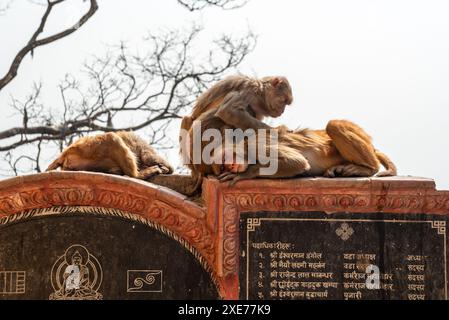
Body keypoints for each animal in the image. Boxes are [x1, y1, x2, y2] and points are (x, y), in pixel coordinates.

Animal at [214, 119, 396, 185]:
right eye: (222, 167)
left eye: (224, 162)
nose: (230, 167)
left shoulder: (257, 145)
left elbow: (297, 162)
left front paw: (246, 174)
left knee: (333, 125)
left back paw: (368, 168)